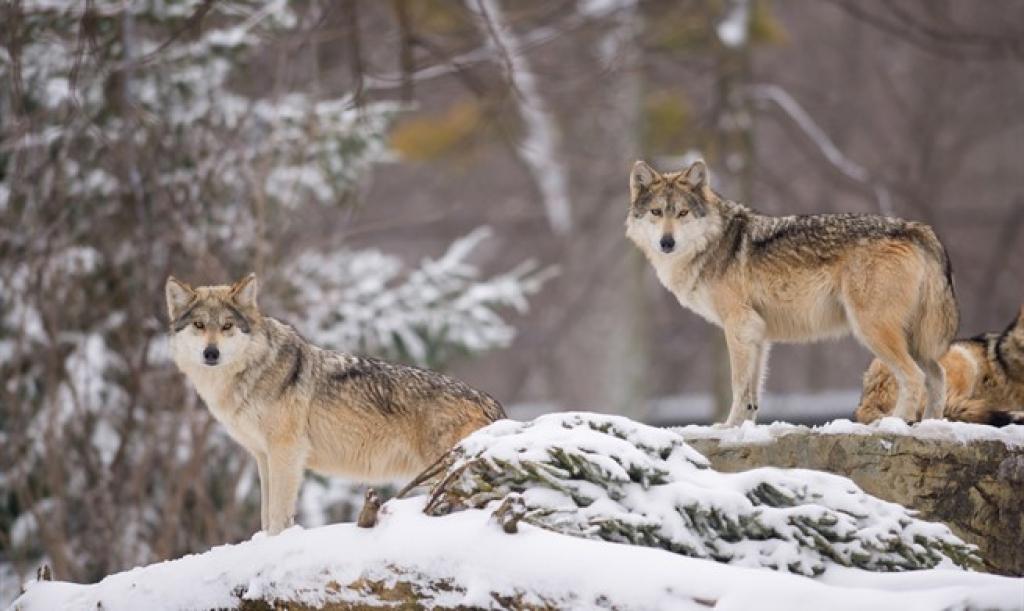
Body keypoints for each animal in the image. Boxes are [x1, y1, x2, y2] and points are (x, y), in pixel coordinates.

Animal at [165, 272, 505, 532]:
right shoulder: (263, 456)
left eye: (227, 326)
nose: (211, 353)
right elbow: (265, 515)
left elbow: (277, 516)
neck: (253, 371)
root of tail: (491, 403)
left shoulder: (286, 453)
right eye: (199, 325)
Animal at [622, 159, 958, 425]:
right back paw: (931, 425)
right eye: (656, 212)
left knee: (914, 377)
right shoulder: (757, 333)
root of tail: (915, 228)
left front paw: (727, 429)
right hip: (912, 338)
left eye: (682, 213)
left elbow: (738, 385)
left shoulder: (738, 326)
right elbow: (752, 395)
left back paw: (893, 424)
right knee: (938, 375)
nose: (667, 243)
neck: (713, 243)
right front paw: (743, 430)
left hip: (873, 330)